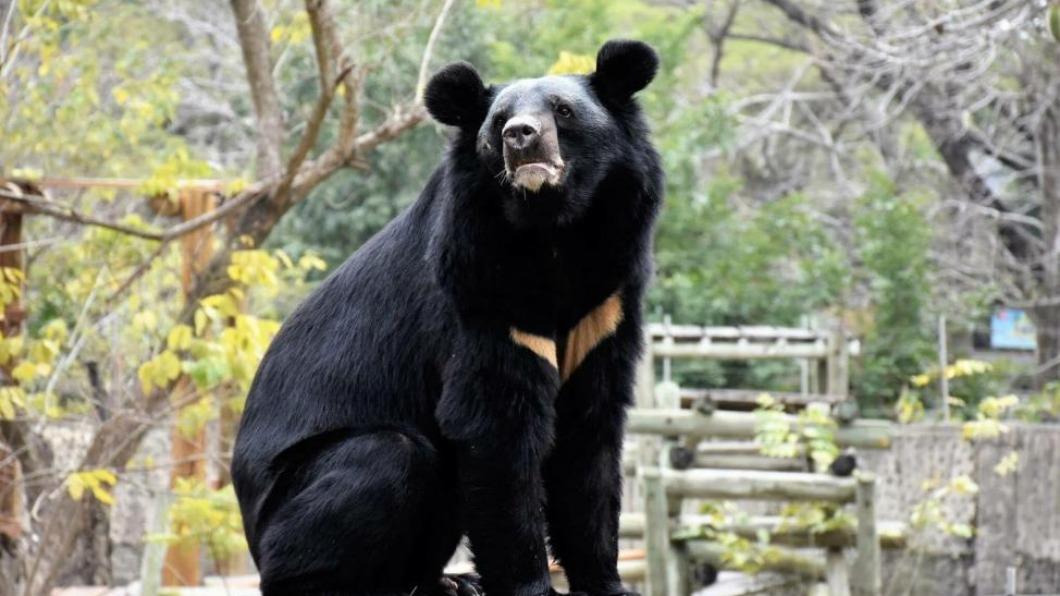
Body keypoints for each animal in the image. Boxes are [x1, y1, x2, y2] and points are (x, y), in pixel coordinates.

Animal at [232, 38, 661, 593]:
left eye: (563, 111)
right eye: (498, 121)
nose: (520, 137)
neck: (553, 231)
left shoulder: (606, 298)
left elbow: (589, 429)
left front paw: (606, 582)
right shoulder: (481, 288)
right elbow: (495, 425)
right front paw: (530, 584)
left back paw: (450, 581)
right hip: (291, 501)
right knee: (387, 456)